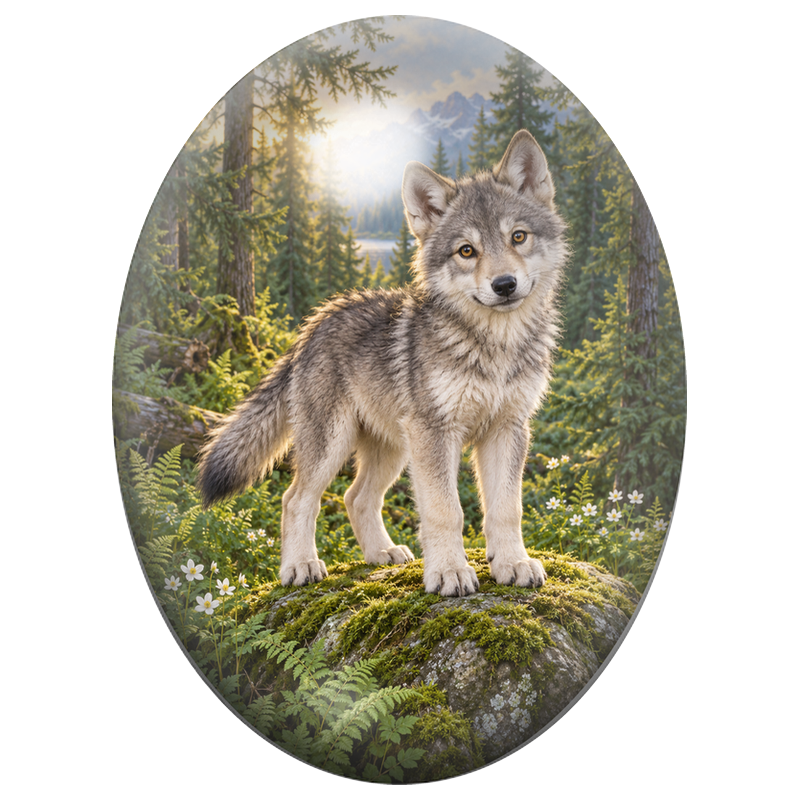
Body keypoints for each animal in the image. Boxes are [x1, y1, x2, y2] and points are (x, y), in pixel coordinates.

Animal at [198, 130, 568, 597]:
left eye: (518, 237)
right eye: (466, 251)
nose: (504, 284)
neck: (494, 346)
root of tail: (314, 323)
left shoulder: (508, 429)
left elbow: (506, 509)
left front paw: (513, 564)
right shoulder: (435, 434)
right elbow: (446, 511)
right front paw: (450, 572)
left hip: (393, 450)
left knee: (355, 498)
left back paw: (381, 554)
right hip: (336, 445)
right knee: (296, 499)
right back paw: (300, 566)